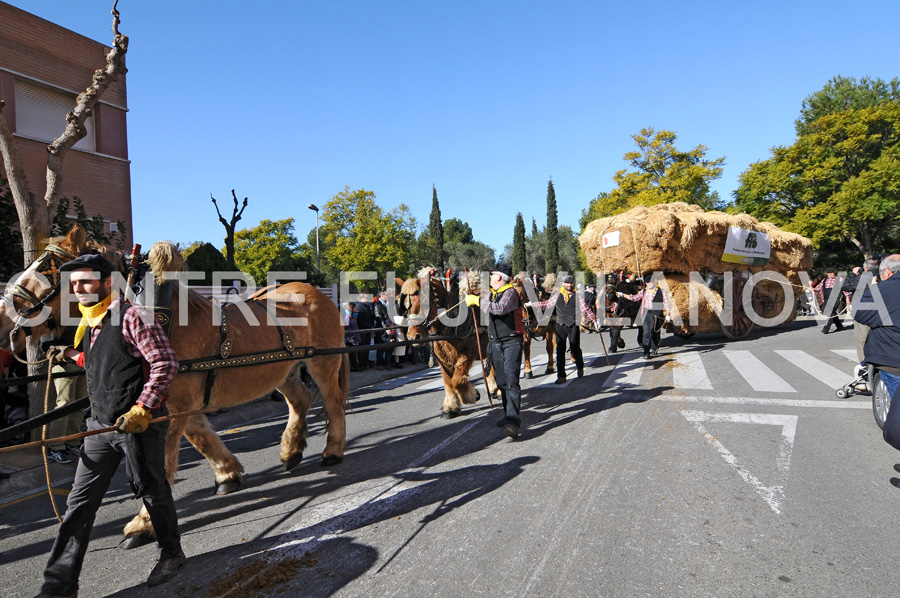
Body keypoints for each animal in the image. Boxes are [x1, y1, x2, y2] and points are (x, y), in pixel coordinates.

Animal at [1, 232, 348, 552]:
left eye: (47, 269)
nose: (6, 325)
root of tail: (316, 294)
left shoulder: (169, 409)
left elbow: (161, 465)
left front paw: (142, 525)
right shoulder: (176, 403)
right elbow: (201, 439)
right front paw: (228, 475)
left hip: (324, 362)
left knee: (333, 403)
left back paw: (332, 451)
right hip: (284, 371)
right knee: (301, 401)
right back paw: (291, 452)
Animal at [398, 270, 500, 420]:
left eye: (424, 302)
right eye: (406, 306)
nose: (413, 336)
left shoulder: (466, 356)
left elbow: (456, 381)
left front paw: (471, 395)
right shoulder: (443, 359)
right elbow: (448, 382)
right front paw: (451, 407)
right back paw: (494, 389)